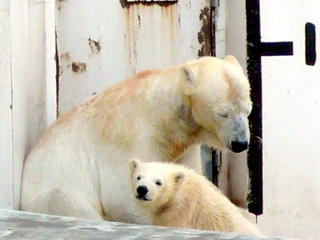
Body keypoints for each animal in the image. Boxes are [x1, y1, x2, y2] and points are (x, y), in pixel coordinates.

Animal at [20, 55, 252, 223]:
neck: (165, 118)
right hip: (44, 194)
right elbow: (122, 196)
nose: (240, 143)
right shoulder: (133, 137)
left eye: (247, 110)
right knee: (61, 198)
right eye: (223, 112)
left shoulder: (183, 146)